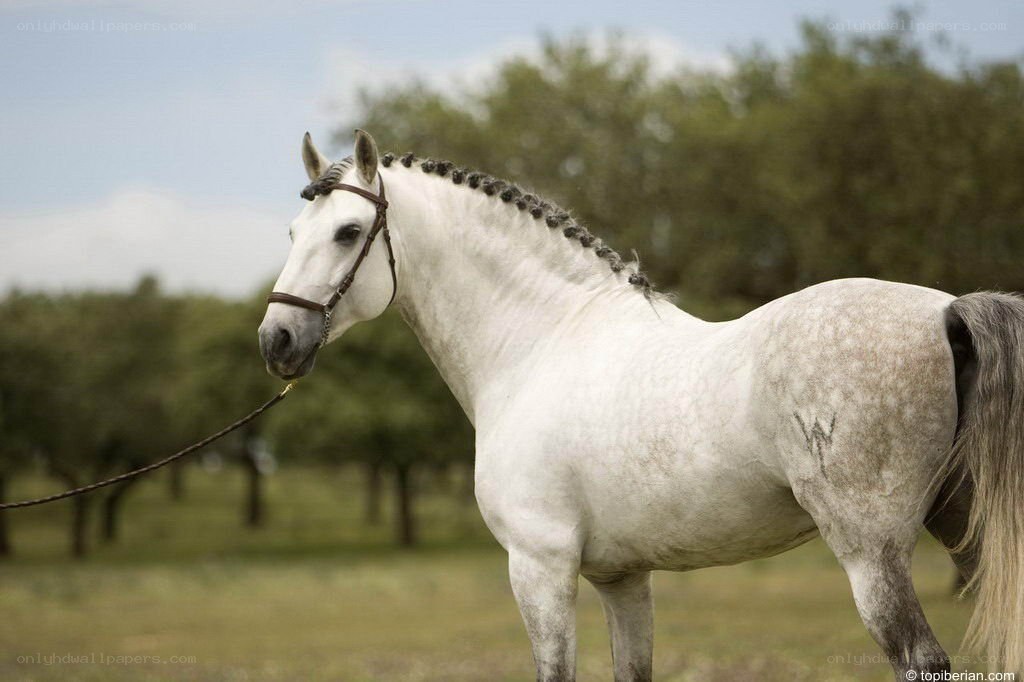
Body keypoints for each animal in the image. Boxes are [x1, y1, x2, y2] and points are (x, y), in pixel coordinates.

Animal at [258, 130, 1024, 681]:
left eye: (347, 233)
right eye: (293, 234)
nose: (277, 340)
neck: (541, 342)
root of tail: (947, 310)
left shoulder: (539, 566)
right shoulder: (621, 577)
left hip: (871, 552)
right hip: (964, 525)